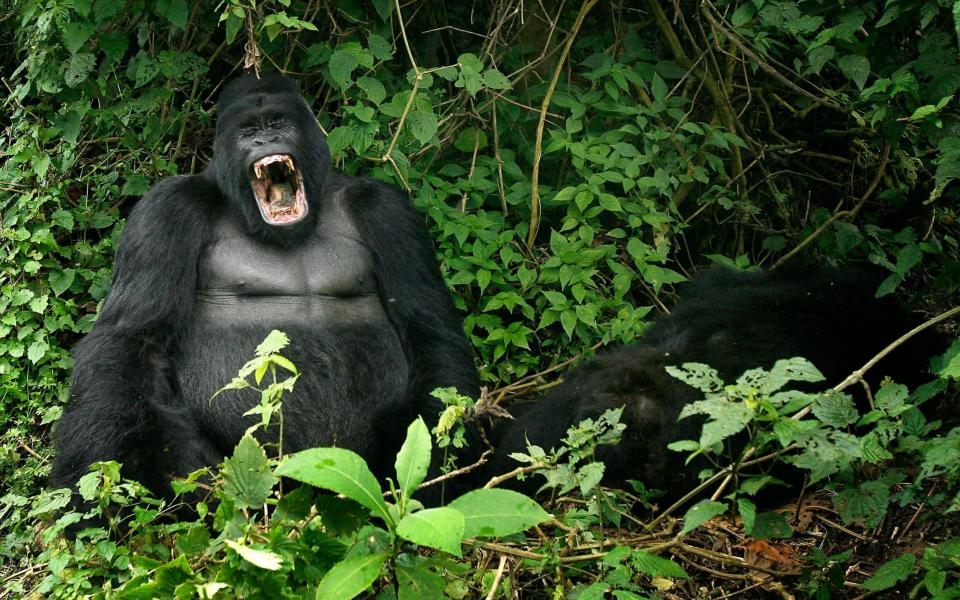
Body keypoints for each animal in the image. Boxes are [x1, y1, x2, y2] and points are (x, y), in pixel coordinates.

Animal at [52, 74, 480, 496]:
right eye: (247, 132)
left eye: (278, 123)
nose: (264, 142)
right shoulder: (167, 208)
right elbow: (133, 339)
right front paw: (95, 477)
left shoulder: (388, 211)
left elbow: (429, 334)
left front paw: (444, 463)